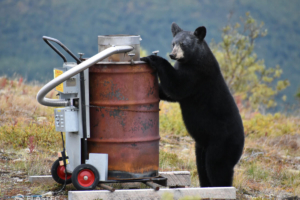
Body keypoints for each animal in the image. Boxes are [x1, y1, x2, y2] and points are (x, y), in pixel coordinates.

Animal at [141, 23, 244, 188]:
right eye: (173, 43)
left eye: (183, 44)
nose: (173, 55)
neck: (192, 59)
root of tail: (242, 143)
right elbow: (171, 93)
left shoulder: (196, 74)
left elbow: (177, 86)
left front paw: (154, 58)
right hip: (201, 147)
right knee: (202, 167)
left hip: (221, 143)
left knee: (217, 167)